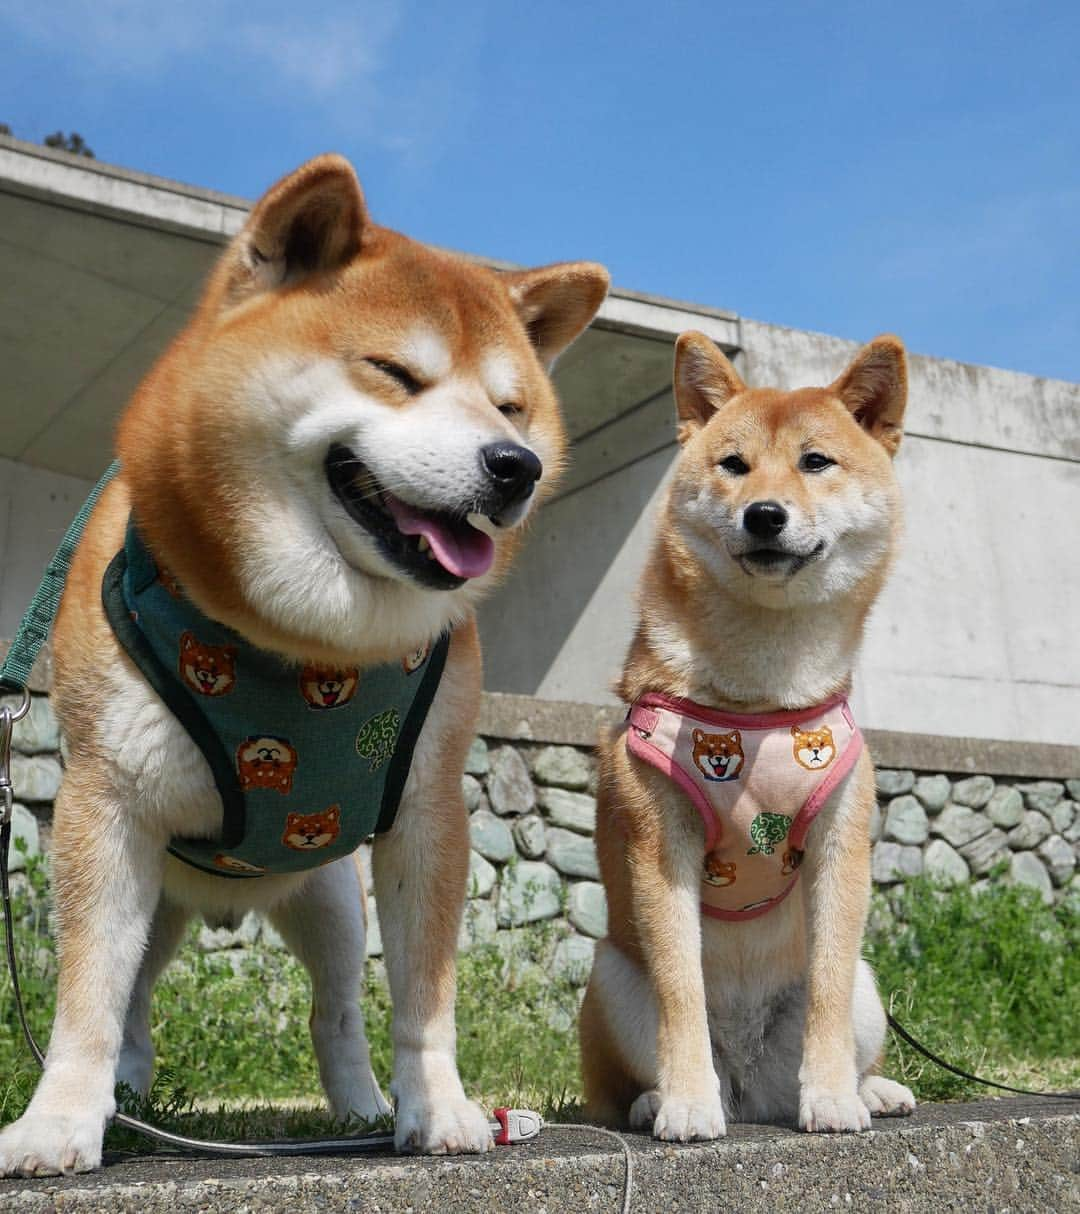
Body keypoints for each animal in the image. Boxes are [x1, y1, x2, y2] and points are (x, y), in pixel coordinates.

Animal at [0, 154, 606, 1175]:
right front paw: (57, 1122)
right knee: (133, 1001)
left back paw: (362, 1109)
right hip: (158, 895)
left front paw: (440, 1110)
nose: (515, 465)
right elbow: (86, 1000)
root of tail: (222, 904)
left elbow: (425, 1000)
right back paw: (128, 1094)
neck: (310, 645)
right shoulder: (101, 804)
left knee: (336, 1015)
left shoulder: (429, 813)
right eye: (395, 373)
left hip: (328, 901)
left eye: (511, 406)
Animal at [580, 330, 917, 1136]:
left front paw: (832, 1097)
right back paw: (656, 1099)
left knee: (848, 1015)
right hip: (607, 977)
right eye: (733, 465)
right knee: (616, 1084)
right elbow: (680, 991)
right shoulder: (660, 847)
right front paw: (686, 1105)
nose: (764, 513)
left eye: (815, 462)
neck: (761, 705)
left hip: (870, 990)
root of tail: (750, 1083)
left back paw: (869, 1090)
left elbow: (827, 985)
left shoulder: (839, 846)